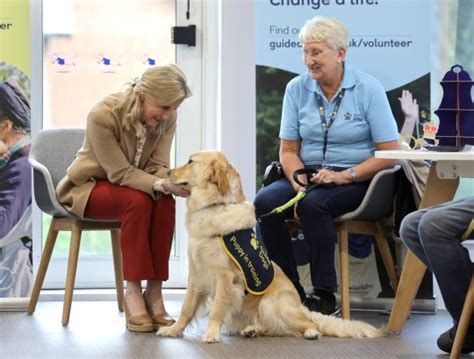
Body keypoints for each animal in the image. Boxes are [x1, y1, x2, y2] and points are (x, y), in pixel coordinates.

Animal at [157, 151, 384, 344]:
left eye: (190, 161)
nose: (167, 172)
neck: (215, 207)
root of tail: (302, 307)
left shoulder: (225, 276)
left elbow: (217, 308)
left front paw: (211, 334)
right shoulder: (197, 273)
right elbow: (187, 308)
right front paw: (173, 330)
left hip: (272, 304)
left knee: (304, 324)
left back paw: (310, 332)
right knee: (274, 328)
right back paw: (252, 330)